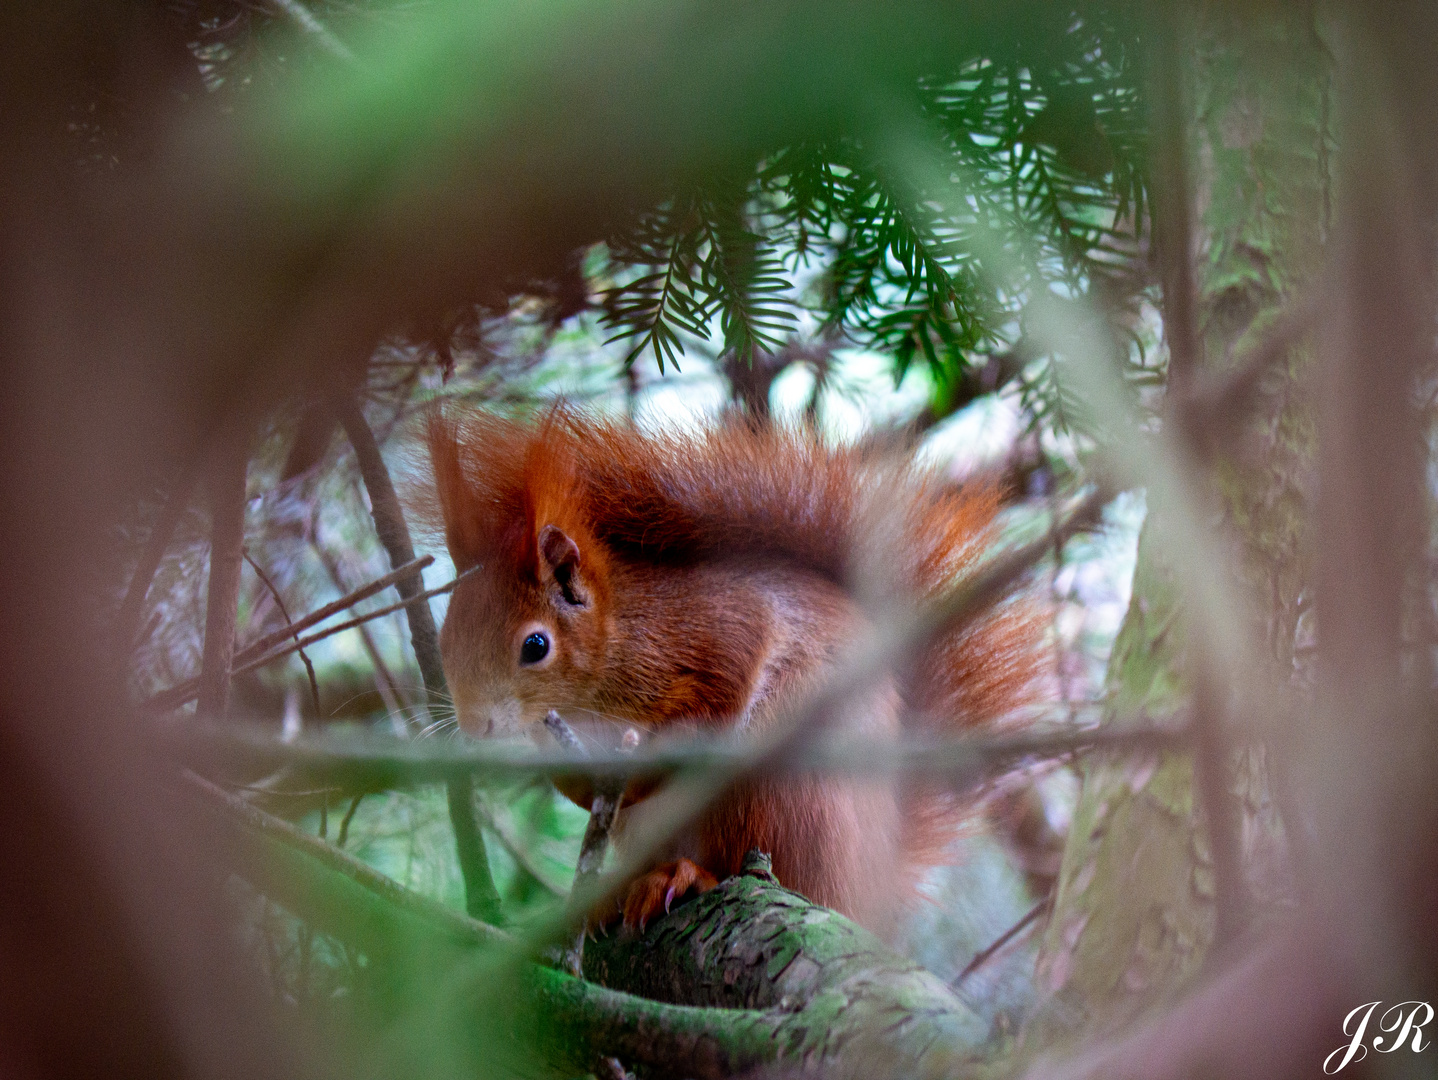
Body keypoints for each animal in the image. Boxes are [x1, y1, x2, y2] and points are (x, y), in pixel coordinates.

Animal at [419, 405, 1041, 937]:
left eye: (535, 645)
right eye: (446, 635)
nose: (475, 726)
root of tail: (867, 891)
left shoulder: (718, 630)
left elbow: (719, 697)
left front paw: (636, 776)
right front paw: (577, 788)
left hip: (779, 790)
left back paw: (689, 875)